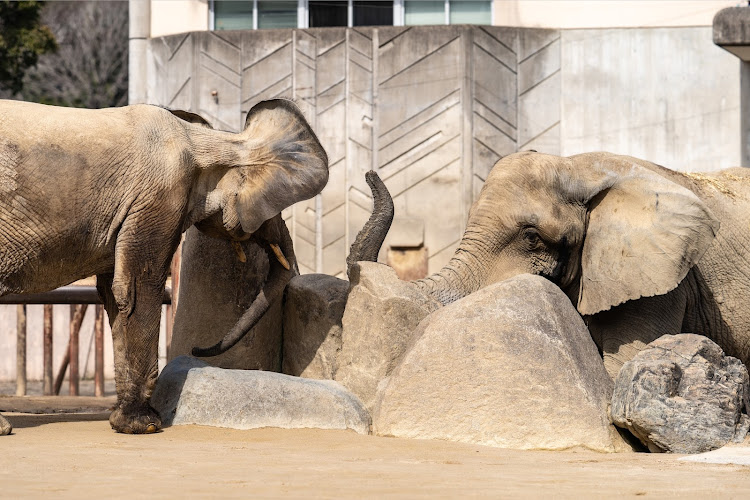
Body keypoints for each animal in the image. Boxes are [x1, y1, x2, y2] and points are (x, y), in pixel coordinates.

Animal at [0, 97, 328, 434]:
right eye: (273, 208)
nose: (196, 350)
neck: (209, 138)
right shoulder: (159, 196)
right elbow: (138, 285)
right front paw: (144, 425)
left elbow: (114, 294)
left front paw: (125, 422)